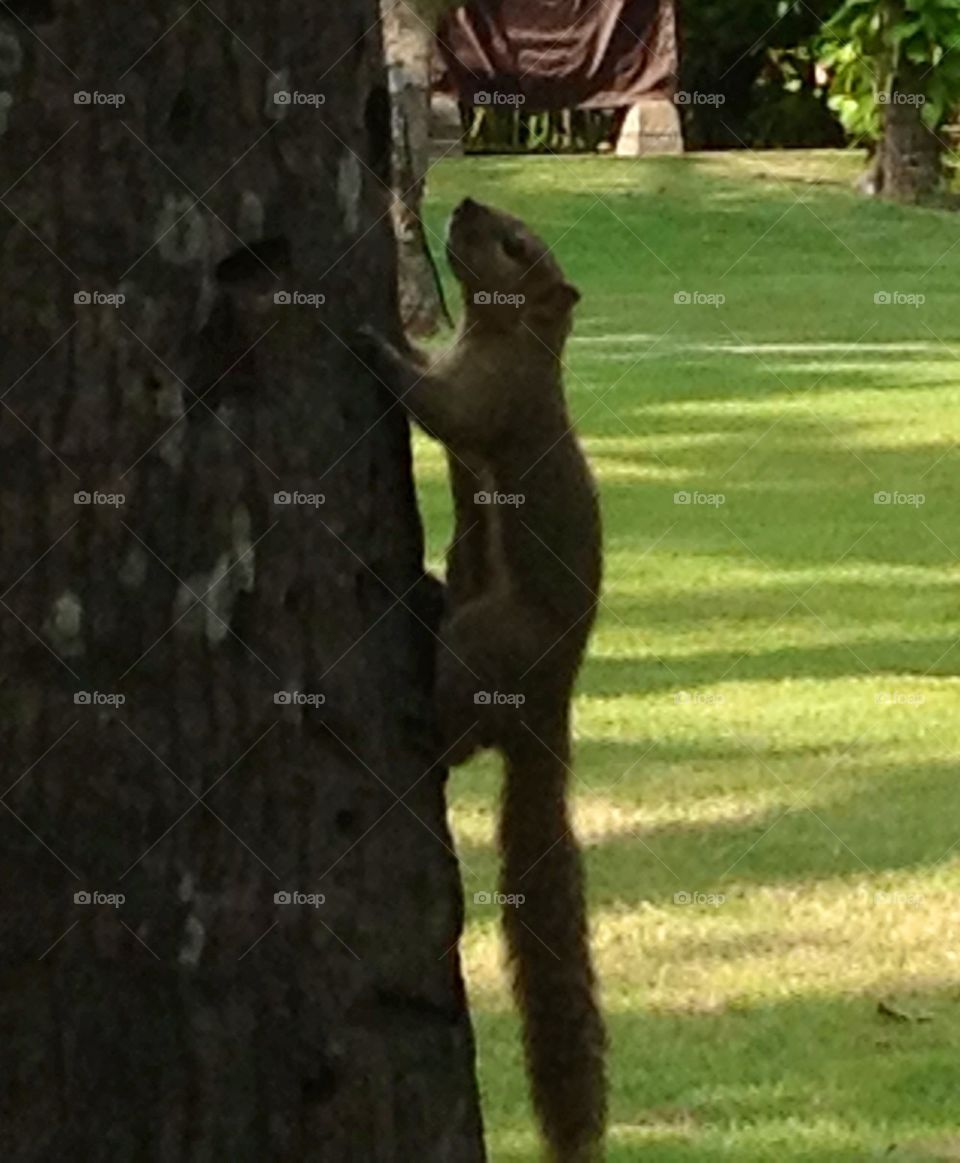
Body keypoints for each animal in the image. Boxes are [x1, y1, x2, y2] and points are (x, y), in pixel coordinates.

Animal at [353, 198, 606, 1163]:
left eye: (516, 246)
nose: (460, 205)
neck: (513, 337)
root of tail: (548, 707)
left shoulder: (493, 398)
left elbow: (440, 406)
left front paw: (376, 342)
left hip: (483, 645)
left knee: (453, 732)